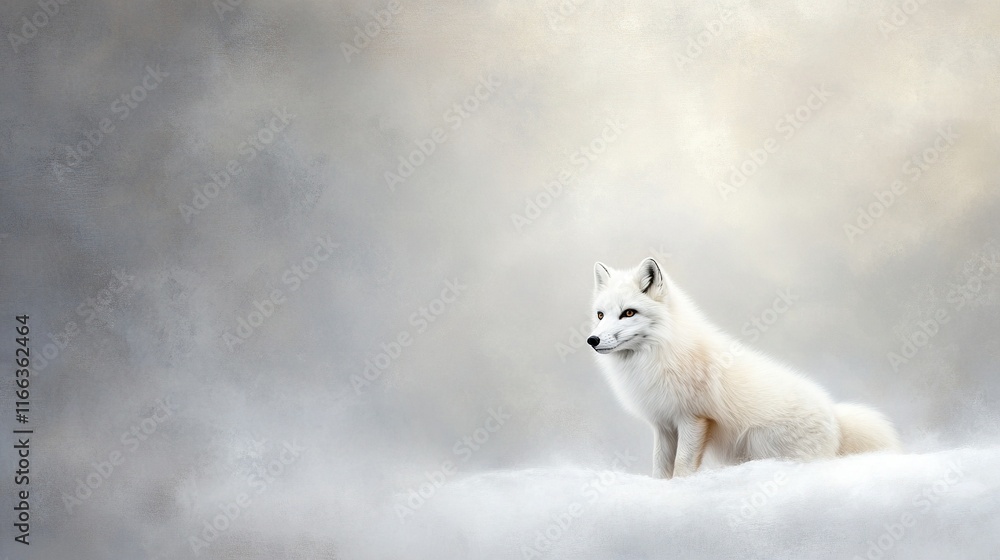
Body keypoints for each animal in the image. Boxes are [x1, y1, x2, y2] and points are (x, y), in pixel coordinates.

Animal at [588, 257, 901, 479]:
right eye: (600, 315)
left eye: (629, 313)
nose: (593, 340)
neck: (658, 355)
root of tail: (837, 418)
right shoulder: (664, 424)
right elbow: (660, 469)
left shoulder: (693, 419)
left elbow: (682, 467)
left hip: (760, 442)